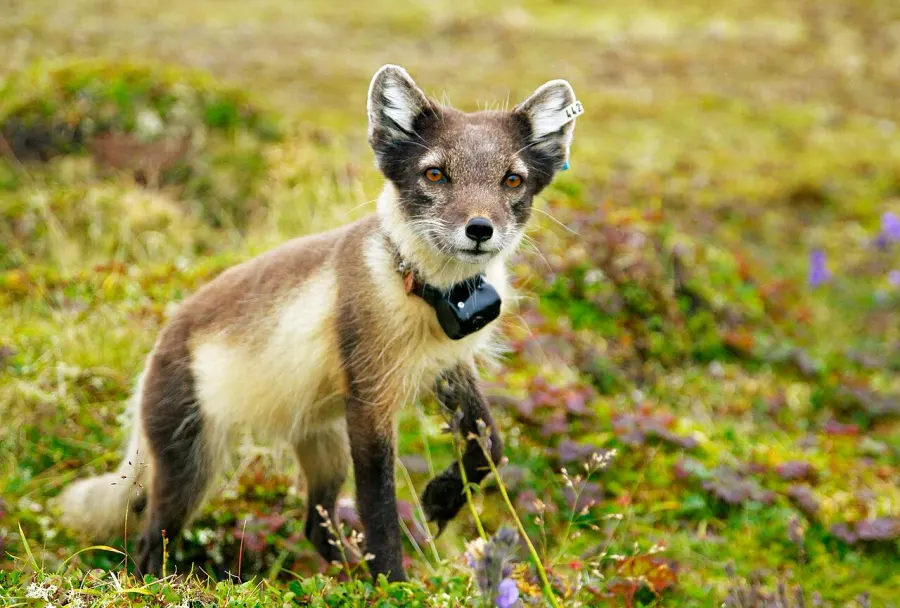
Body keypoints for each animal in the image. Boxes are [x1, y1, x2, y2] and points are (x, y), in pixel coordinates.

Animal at [57, 64, 580, 582]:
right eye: (435, 174)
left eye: (512, 181)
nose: (479, 229)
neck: (426, 292)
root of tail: (156, 348)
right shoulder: (369, 399)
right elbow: (379, 509)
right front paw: (392, 584)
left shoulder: (449, 365)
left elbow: (490, 442)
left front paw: (442, 497)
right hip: (191, 460)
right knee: (151, 538)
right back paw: (158, 582)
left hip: (322, 443)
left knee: (314, 524)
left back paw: (343, 575)